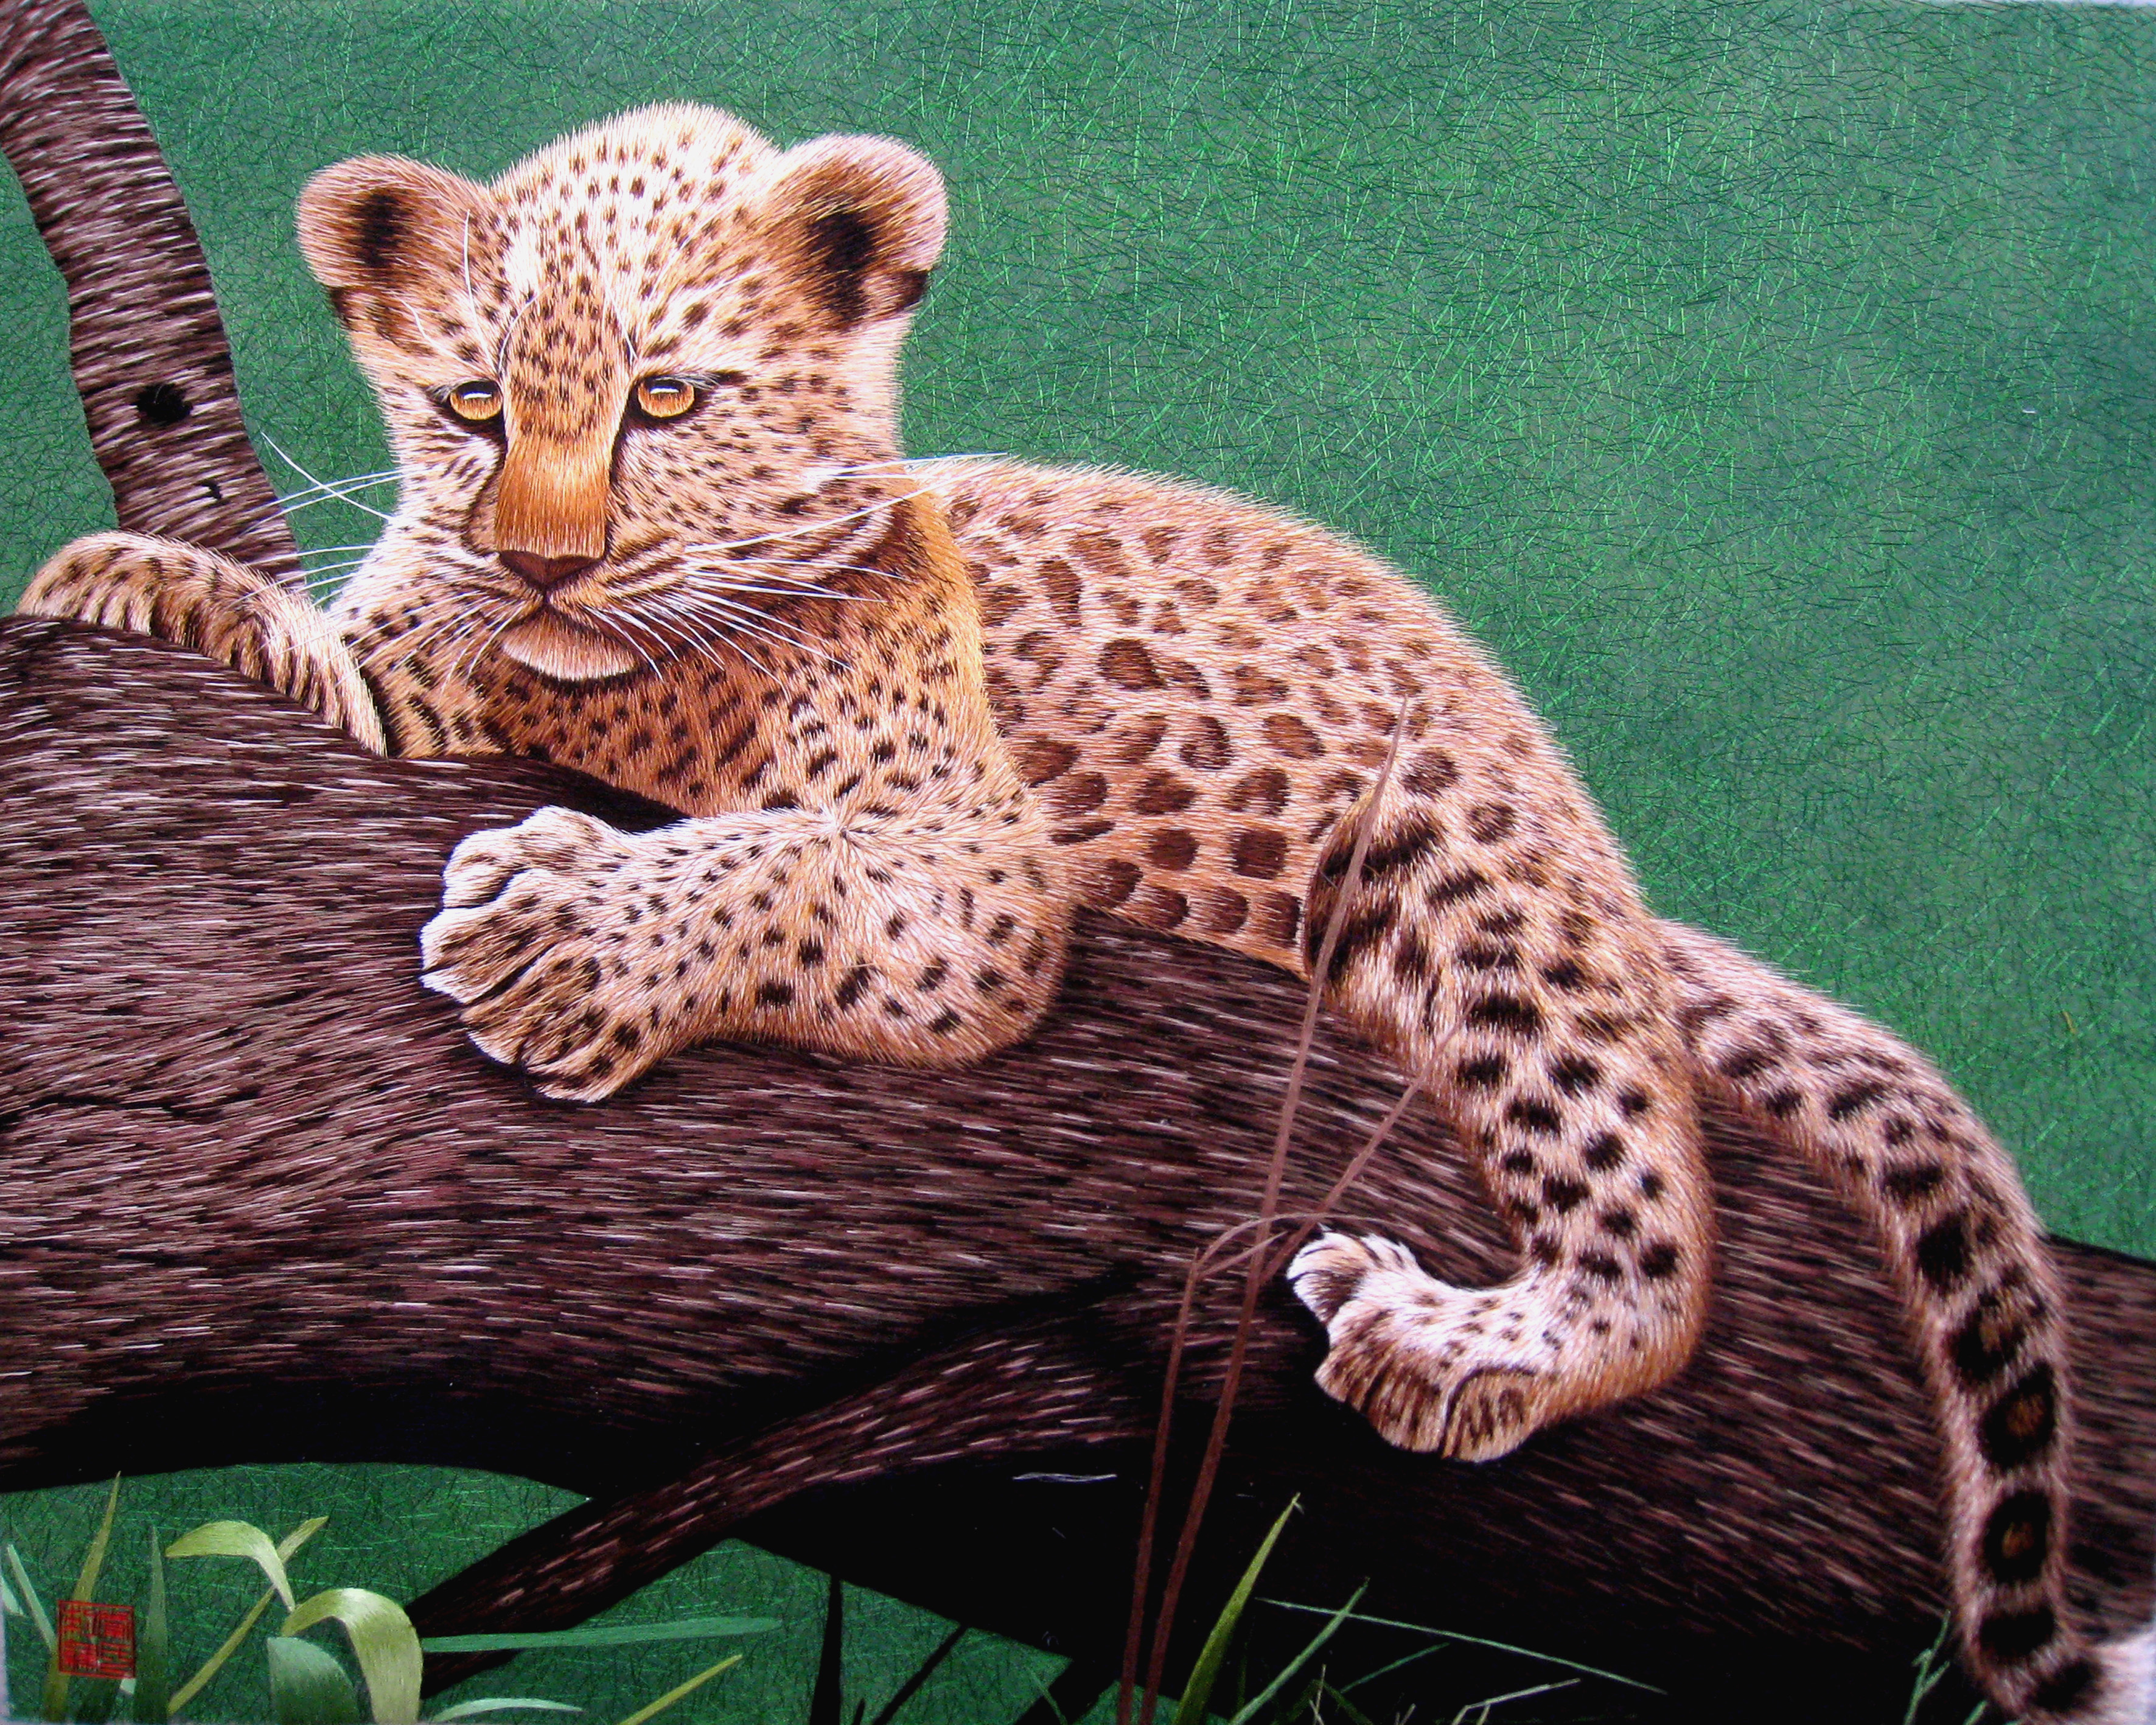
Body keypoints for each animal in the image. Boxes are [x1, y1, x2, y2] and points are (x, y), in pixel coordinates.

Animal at [18, 103, 2147, 1722]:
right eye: (469, 404)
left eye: (668, 401)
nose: (543, 563)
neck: (600, 688)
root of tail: (1593, 855)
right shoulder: (435, 684)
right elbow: (360, 675)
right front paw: (148, 585)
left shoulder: (963, 870)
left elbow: (780, 856)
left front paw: (568, 930)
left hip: (1467, 878)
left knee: (1646, 1223)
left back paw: (1464, 1336)